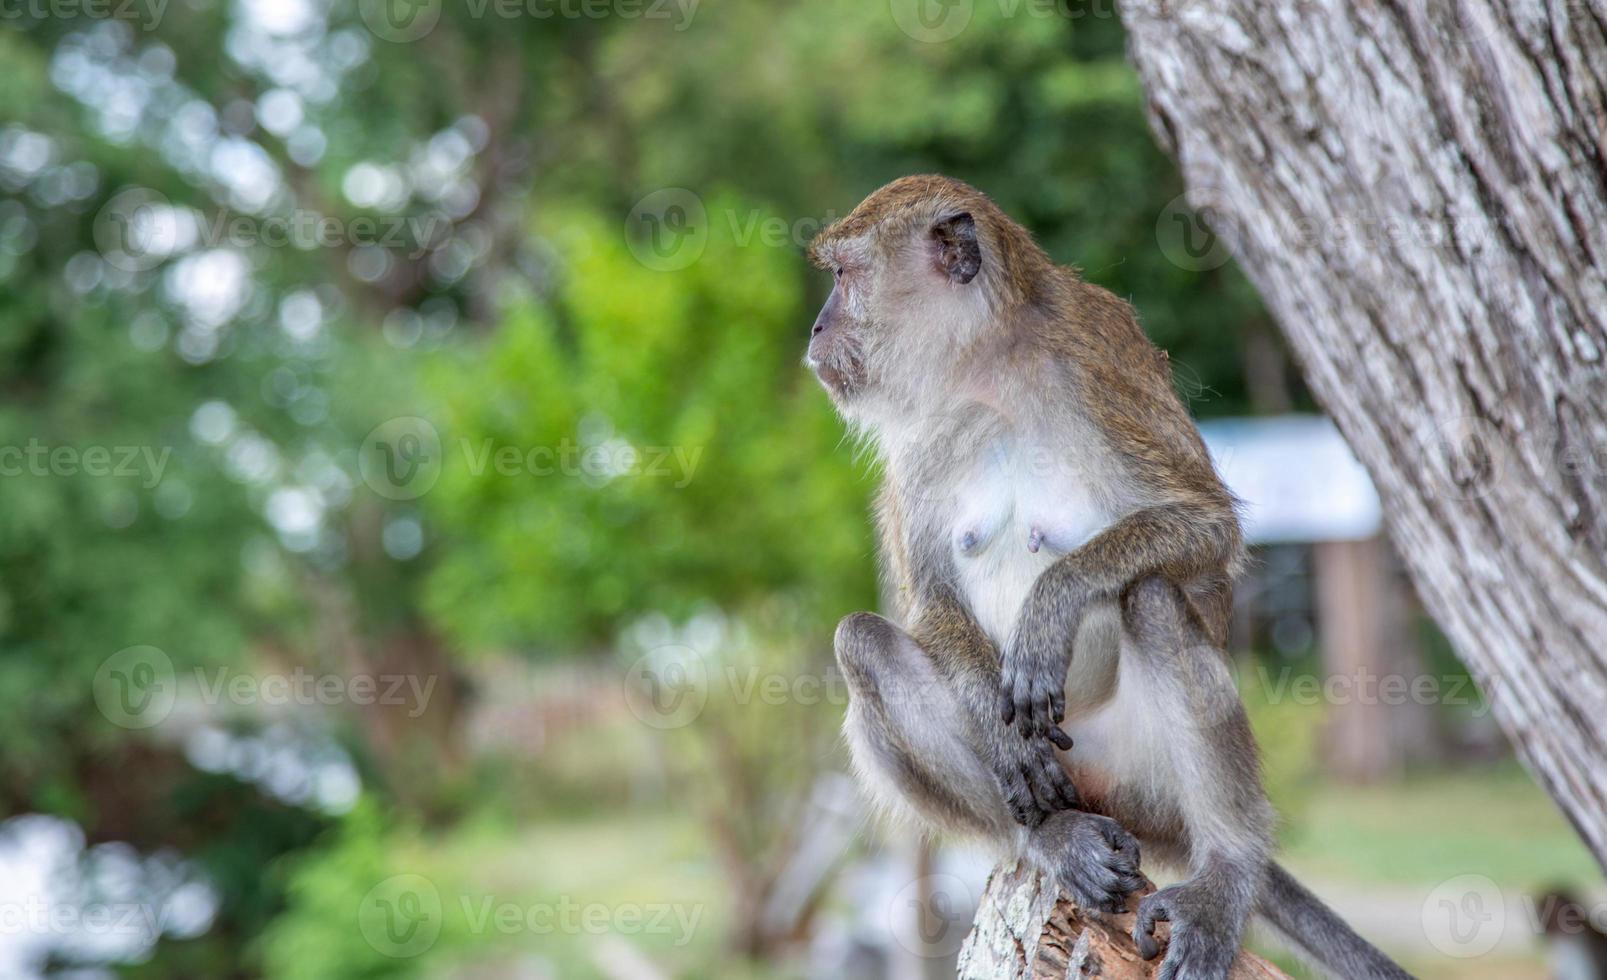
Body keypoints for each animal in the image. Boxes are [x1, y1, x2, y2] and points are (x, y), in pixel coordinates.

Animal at [809, 175, 1414, 976]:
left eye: (843, 277)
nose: (814, 330)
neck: (986, 368)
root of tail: (1117, 803)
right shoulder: (916, 443)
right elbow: (929, 602)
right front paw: (1003, 735)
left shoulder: (1098, 366)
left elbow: (1206, 527)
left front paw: (1051, 603)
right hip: (1080, 781)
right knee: (864, 642)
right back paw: (1051, 836)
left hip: (1146, 779)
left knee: (1150, 596)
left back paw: (1225, 870)